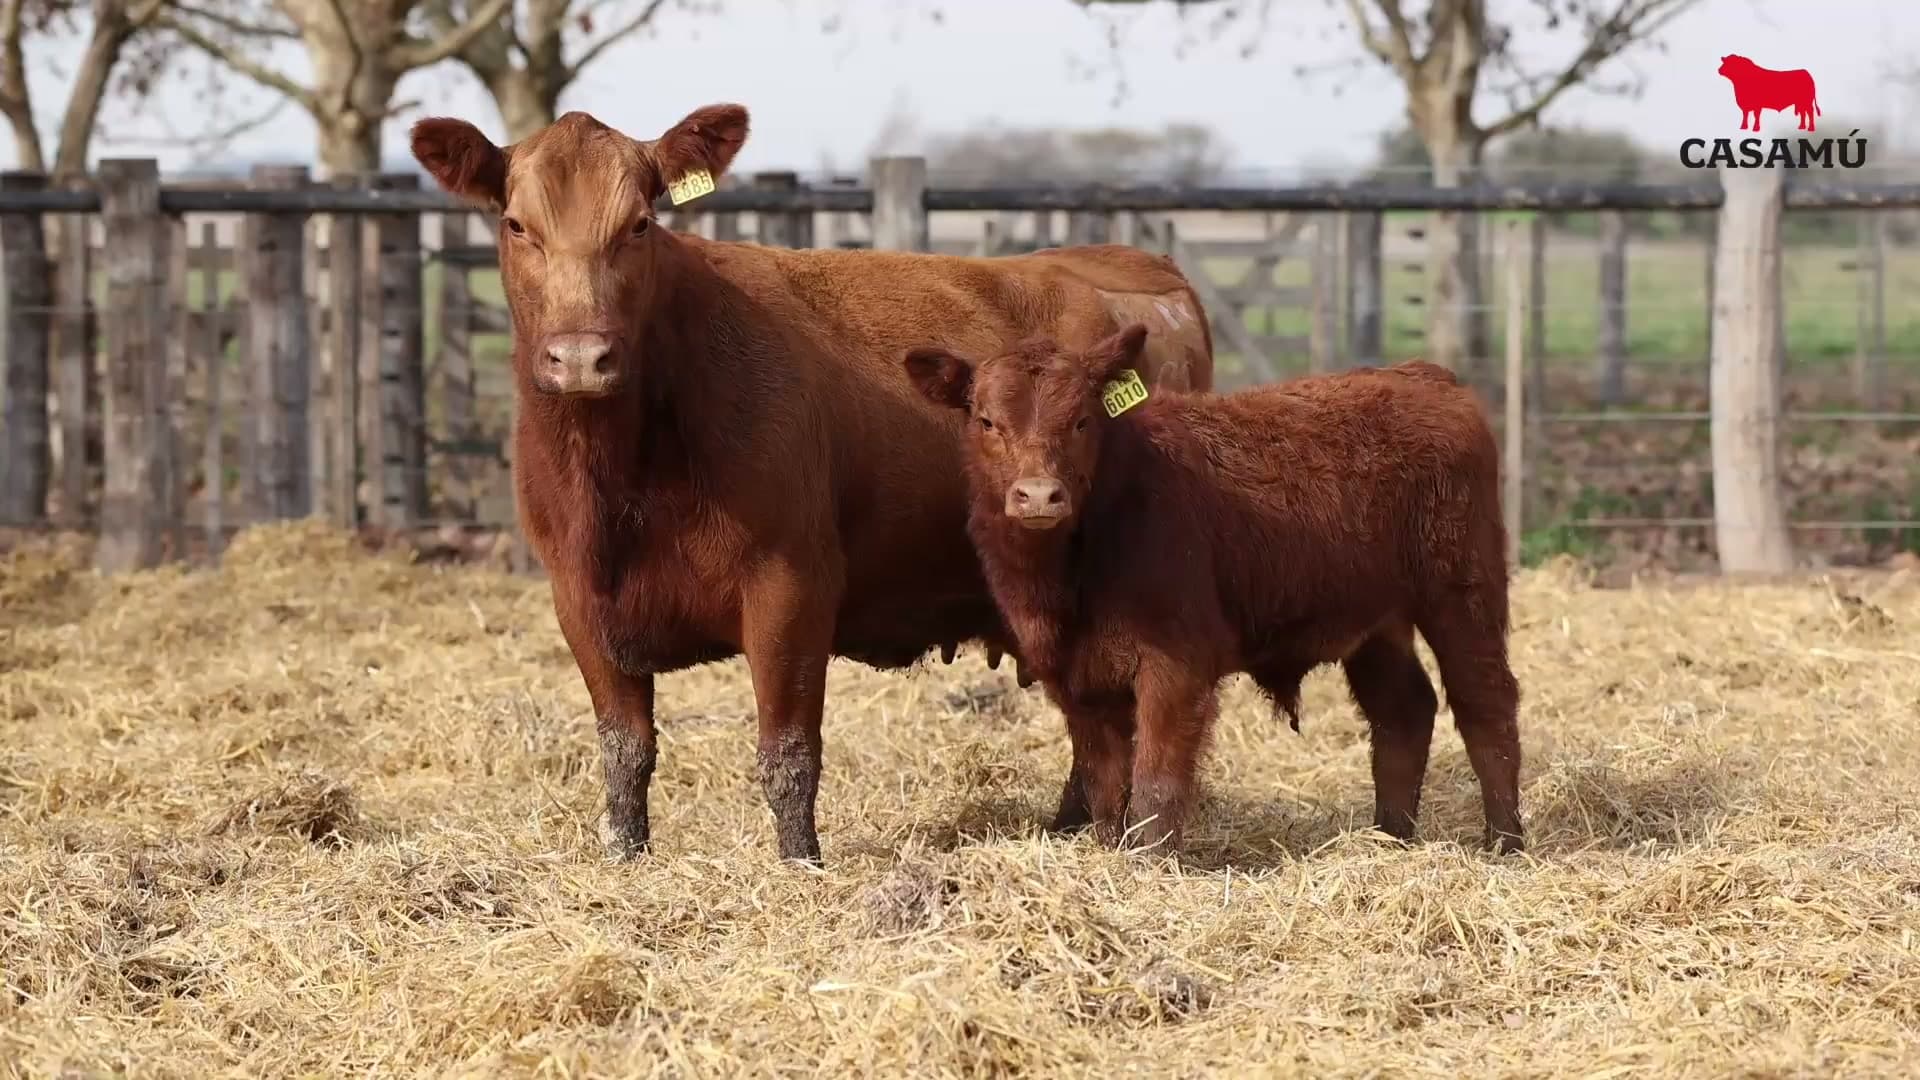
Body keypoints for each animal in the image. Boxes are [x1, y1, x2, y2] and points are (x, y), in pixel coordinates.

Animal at [407, 105, 1214, 865]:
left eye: (639, 223)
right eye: (517, 224)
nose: (580, 357)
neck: (619, 478)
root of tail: (1136, 266)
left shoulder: (790, 584)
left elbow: (788, 753)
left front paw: (801, 863)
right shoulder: (580, 599)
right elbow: (624, 750)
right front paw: (626, 854)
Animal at [902, 324, 1523, 856]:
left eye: (1080, 420)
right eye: (986, 421)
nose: (1038, 495)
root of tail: (1422, 375)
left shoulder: (1176, 667)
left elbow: (1156, 785)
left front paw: (1150, 868)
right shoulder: (1076, 680)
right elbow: (1104, 789)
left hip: (1463, 592)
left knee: (1486, 705)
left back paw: (1504, 842)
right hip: (1374, 622)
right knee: (1404, 711)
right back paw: (1390, 839)